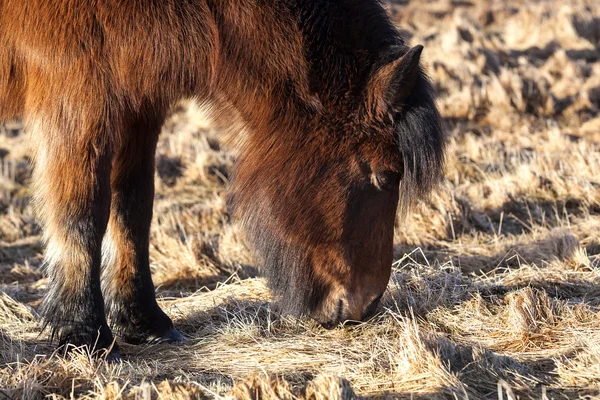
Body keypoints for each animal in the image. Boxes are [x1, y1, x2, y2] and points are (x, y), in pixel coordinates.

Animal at [0, 0, 446, 356]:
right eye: (385, 176)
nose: (364, 306)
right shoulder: (79, 99)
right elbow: (83, 215)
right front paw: (83, 332)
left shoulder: (138, 106)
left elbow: (133, 208)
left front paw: (143, 322)